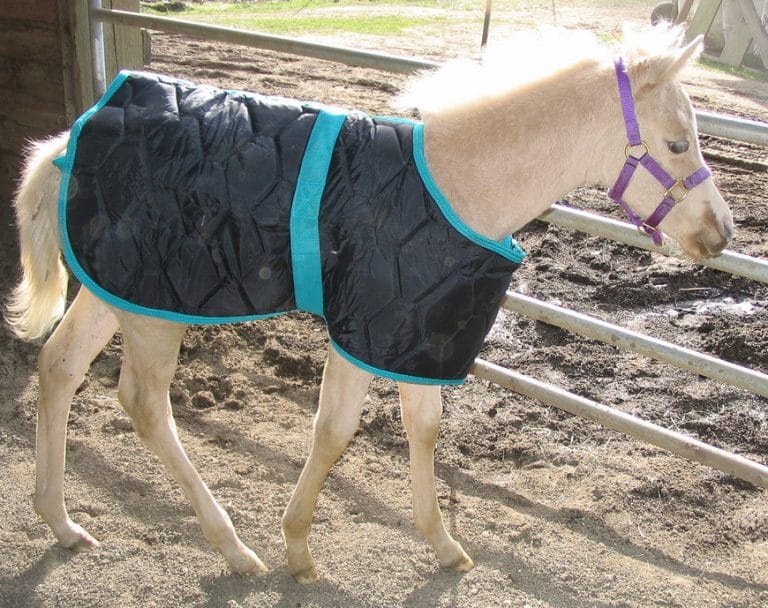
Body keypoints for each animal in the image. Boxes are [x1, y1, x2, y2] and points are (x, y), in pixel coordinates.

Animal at [5, 27, 733, 584]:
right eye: (677, 143)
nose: (721, 232)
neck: (455, 185)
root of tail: (71, 140)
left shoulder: (418, 332)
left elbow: (424, 427)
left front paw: (444, 546)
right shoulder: (362, 330)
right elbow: (334, 430)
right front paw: (297, 549)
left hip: (121, 290)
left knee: (59, 366)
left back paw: (61, 521)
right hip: (157, 309)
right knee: (145, 405)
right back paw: (235, 549)